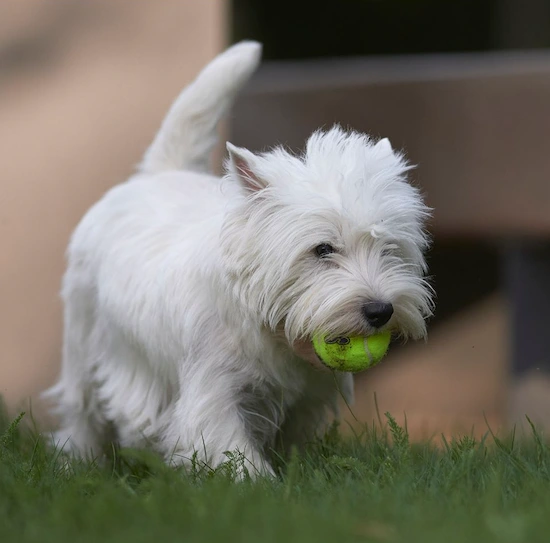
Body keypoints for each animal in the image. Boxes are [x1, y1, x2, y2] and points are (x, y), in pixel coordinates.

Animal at [45, 41, 436, 476]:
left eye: (389, 248)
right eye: (322, 249)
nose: (380, 311)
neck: (275, 331)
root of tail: (156, 174)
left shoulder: (307, 396)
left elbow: (292, 439)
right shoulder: (214, 391)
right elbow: (233, 450)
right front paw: (259, 482)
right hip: (84, 342)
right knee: (82, 413)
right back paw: (76, 464)